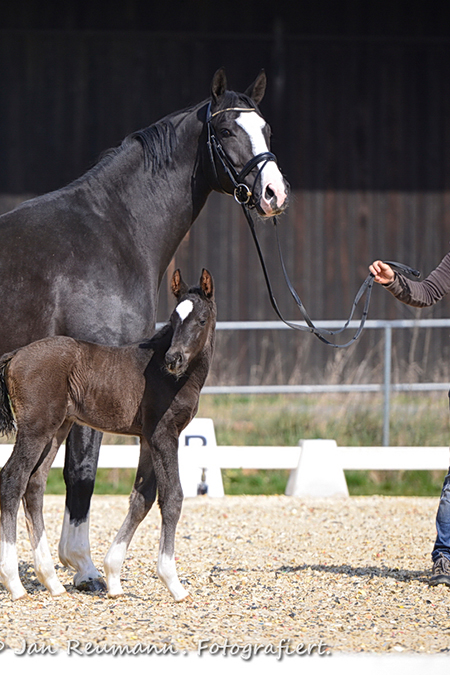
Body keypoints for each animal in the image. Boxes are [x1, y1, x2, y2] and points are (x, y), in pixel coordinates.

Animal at [0, 270, 216, 604]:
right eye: (174, 319)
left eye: (201, 320)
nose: (173, 359)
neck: (173, 378)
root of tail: (15, 355)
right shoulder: (165, 434)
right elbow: (172, 497)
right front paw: (173, 583)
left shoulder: (147, 438)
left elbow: (142, 498)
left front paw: (113, 577)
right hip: (36, 428)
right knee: (12, 480)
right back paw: (14, 583)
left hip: (57, 429)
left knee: (34, 485)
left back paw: (52, 581)